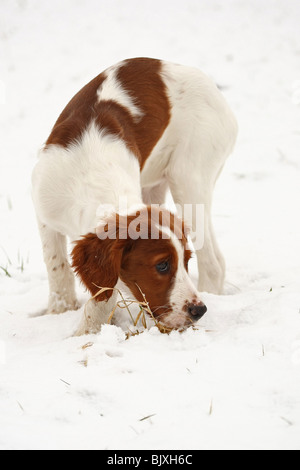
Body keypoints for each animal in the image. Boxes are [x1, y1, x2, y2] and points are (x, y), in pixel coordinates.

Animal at [31, 57, 238, 334]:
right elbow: (58, 266)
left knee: (214, 263)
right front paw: (61, 311)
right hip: (157, 185)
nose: (199, 310)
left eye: (185, 261)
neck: (89, 173)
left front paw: (85, 333)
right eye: (162, 265)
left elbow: (103, 294)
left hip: (189, 180)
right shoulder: (44, 213)